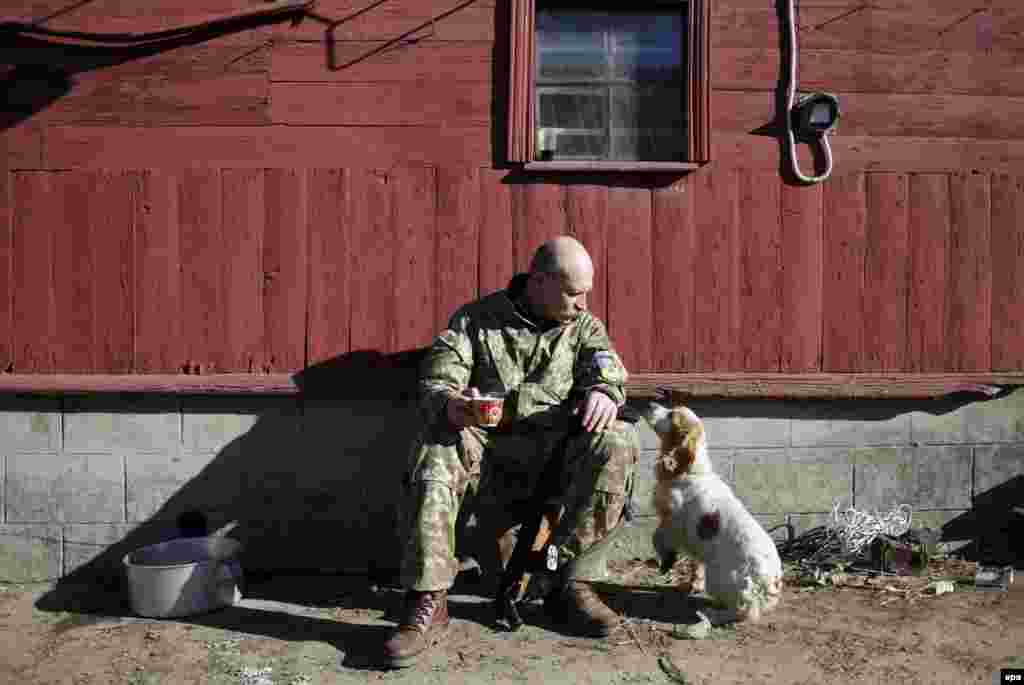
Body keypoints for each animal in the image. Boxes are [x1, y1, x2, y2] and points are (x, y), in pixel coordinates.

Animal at [638, 401, 782, 626]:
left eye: (671, 415)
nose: (649, 403)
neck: (690, 472)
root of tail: (770, 581)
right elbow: (695, 564)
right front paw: (691, 584)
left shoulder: (673, 521)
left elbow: (658, 537)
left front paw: (666, 562)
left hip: (719, 580)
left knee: (744, 612)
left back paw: (711, 613)